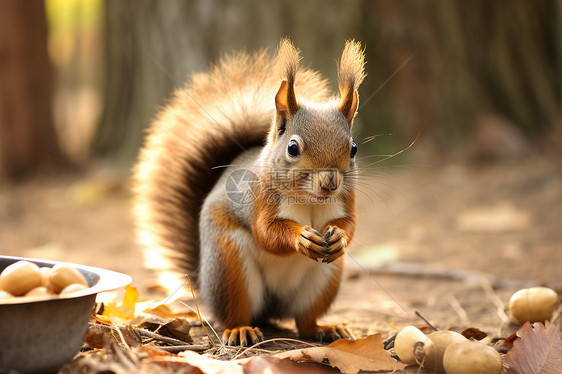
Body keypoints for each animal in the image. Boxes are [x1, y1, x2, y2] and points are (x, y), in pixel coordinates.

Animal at [133, 39, 366, 346]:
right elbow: (266, 233)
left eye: (353, 149)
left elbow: (350, 224)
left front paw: (339, 236)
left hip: (325, 275)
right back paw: (240, 329)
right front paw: (300, 237)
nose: (329, 184)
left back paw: (326, 328)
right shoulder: (259, 198)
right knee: (235, 313)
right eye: (293, 148)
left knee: (305, 321)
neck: (309, 199)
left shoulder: (347, 198)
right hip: (229, 265)